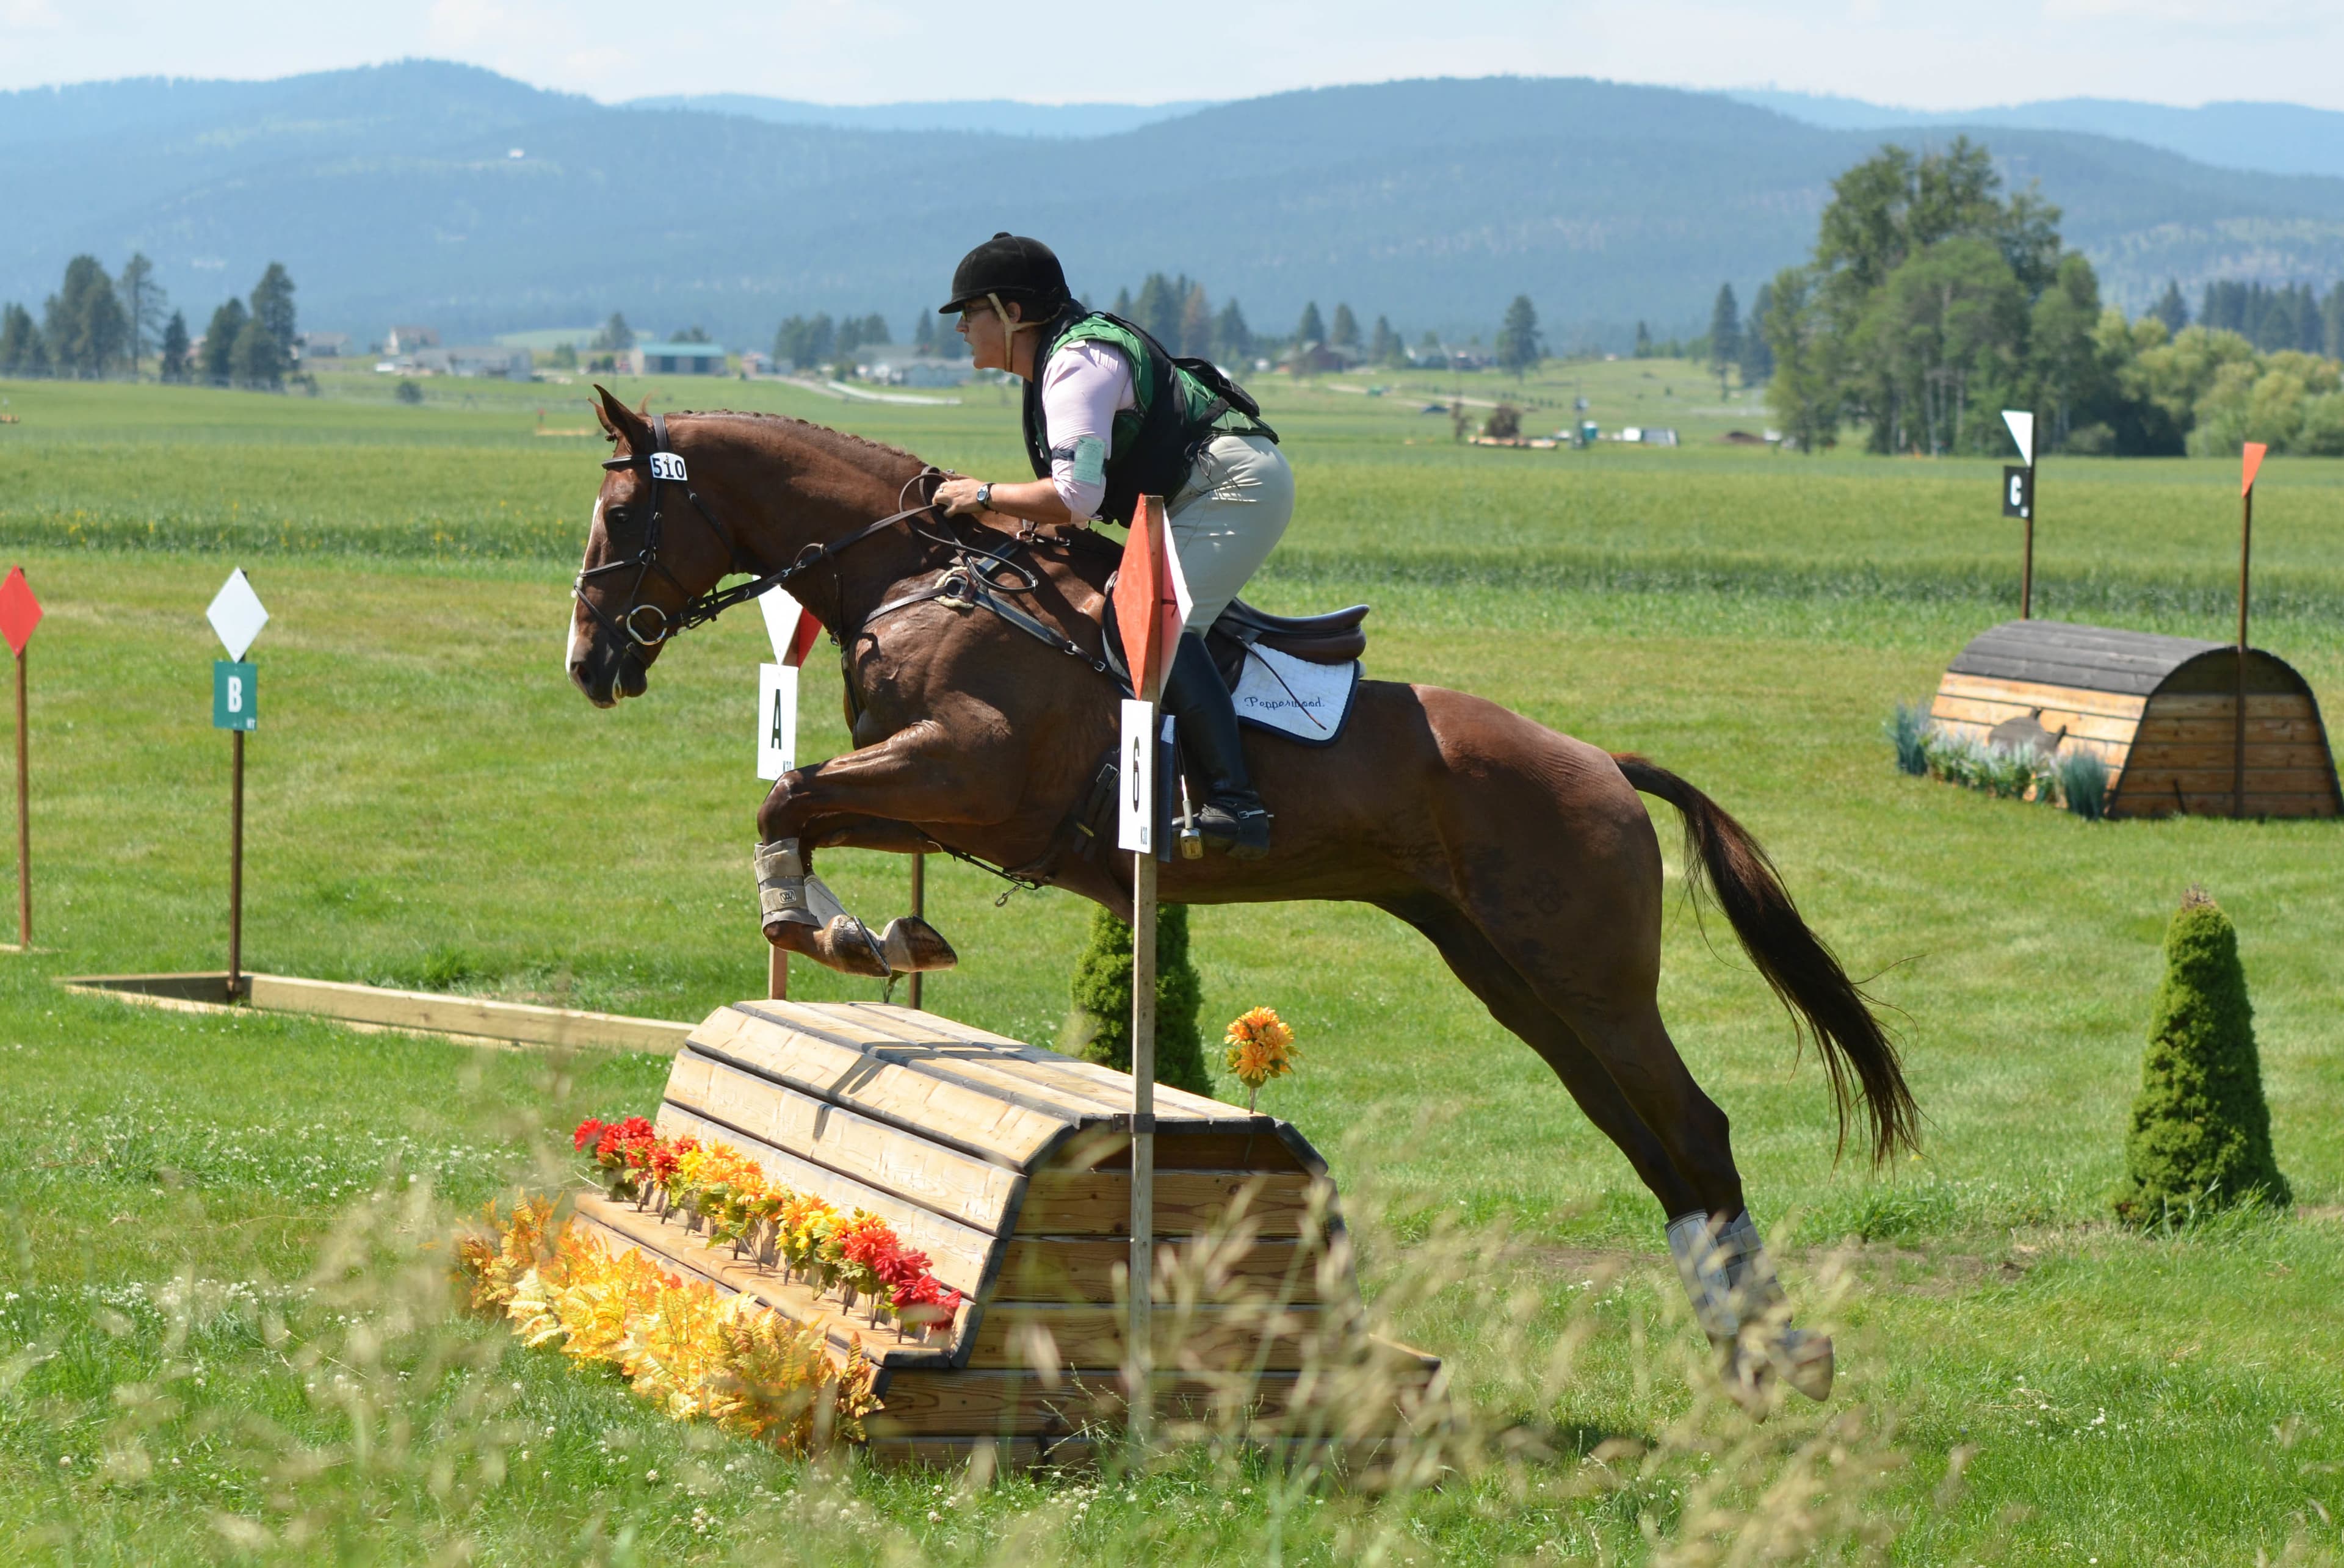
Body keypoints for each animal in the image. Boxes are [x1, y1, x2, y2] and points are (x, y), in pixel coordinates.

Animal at [567, 386, 1917, 1401]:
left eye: (624, 511)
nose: (589, 664)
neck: (916, 574)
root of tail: (1602, 761)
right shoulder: (932, 794)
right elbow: (803, 805)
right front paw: (875, 928)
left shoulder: (964, 775)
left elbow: (788, 800)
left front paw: (823, 925)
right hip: (1516, 978)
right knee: (1650, 1142)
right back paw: (1750, 1347)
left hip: (1589, 976)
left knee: (1694, 1129)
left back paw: (1778, 1357)